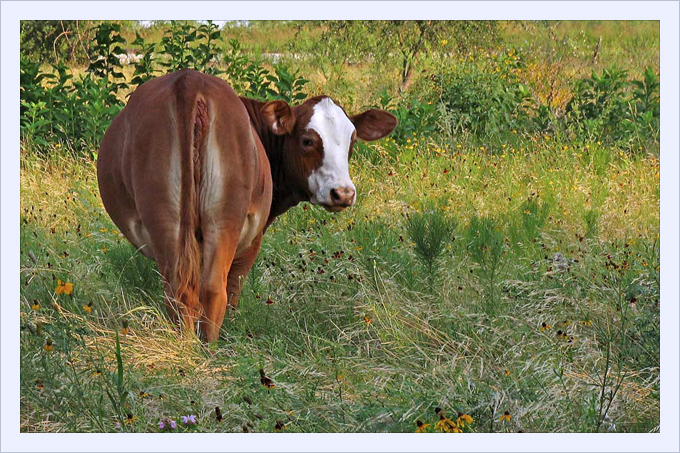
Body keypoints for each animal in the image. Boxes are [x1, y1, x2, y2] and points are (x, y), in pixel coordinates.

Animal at [93, 69, 396, 340]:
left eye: (352, 141)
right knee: (215, 292)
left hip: (169, 222)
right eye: (307, 140)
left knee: (182, 292)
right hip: (225, 221)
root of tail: (189, 81)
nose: (342, 193)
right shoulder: (252, 240)